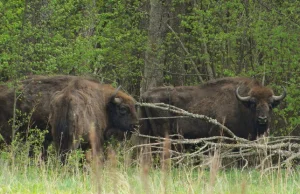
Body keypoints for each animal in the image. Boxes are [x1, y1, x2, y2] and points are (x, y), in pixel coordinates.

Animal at [139, 77, 288, 141]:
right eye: (253, 103)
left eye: (270, 105)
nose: (262, 119)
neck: (240, 104)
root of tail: (145, 95)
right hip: (163, 133)